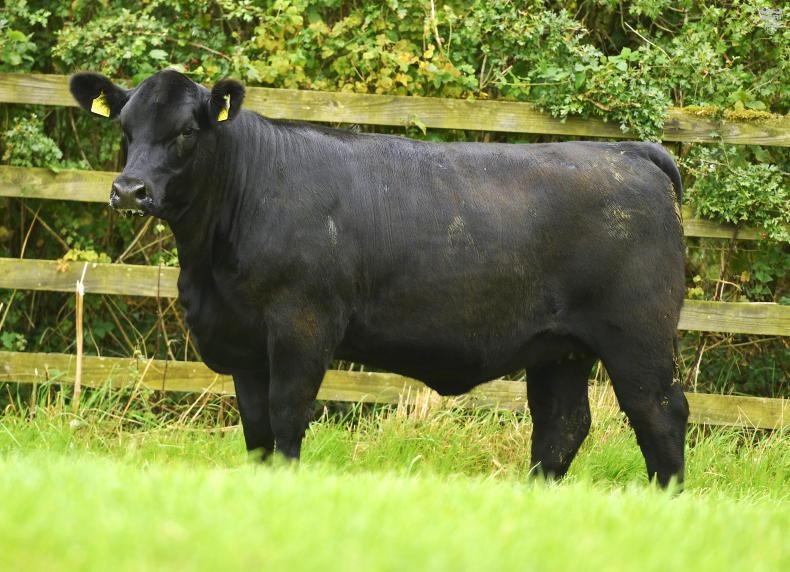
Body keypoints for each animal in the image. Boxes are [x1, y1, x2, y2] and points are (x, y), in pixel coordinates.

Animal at [70, 70, 689, 487]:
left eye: (185, 132)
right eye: (126, 128)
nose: (129, 190)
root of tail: (628, 152)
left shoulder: (301, 326)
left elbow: (286, 415)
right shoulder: (244, 343)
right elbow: (256, 430)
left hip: (638, 334)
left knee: (660, 412)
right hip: (559, 348)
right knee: (562, 426)